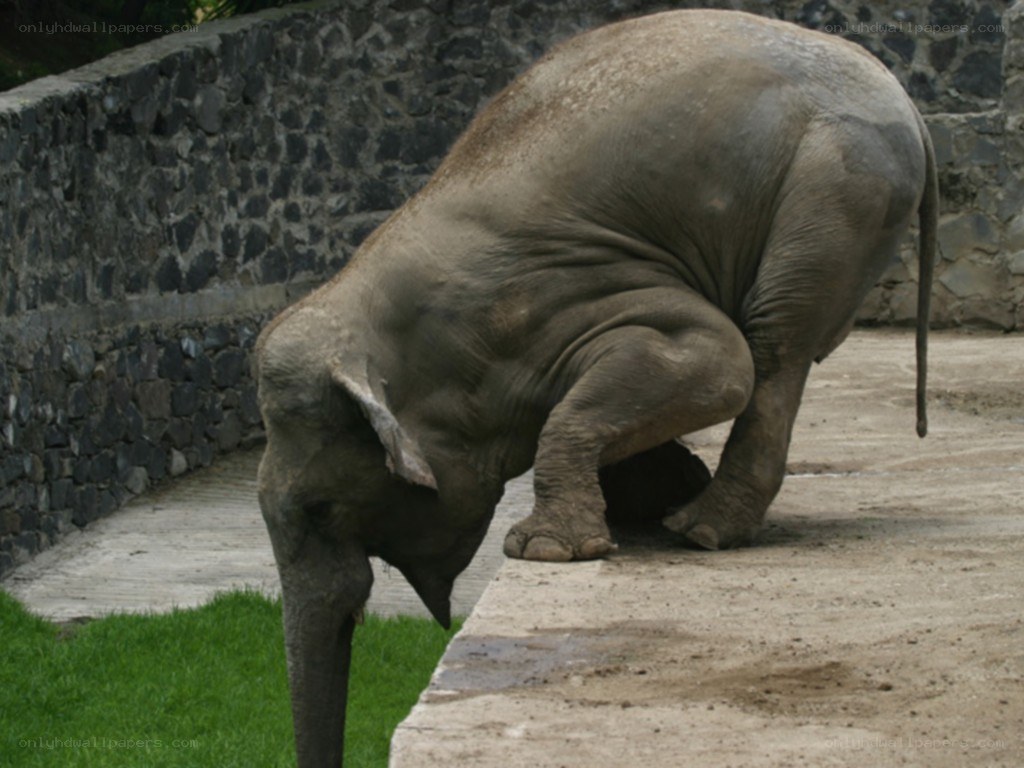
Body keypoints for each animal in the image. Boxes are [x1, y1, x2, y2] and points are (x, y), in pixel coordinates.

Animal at [255, 9, 936, 766]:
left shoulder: (552, 291)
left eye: (319, 510)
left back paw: (701, 531)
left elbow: (716, 361)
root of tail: (907, 101)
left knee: (774, 342)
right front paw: (641, 501)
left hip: (835, 185)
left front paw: (545, 551)